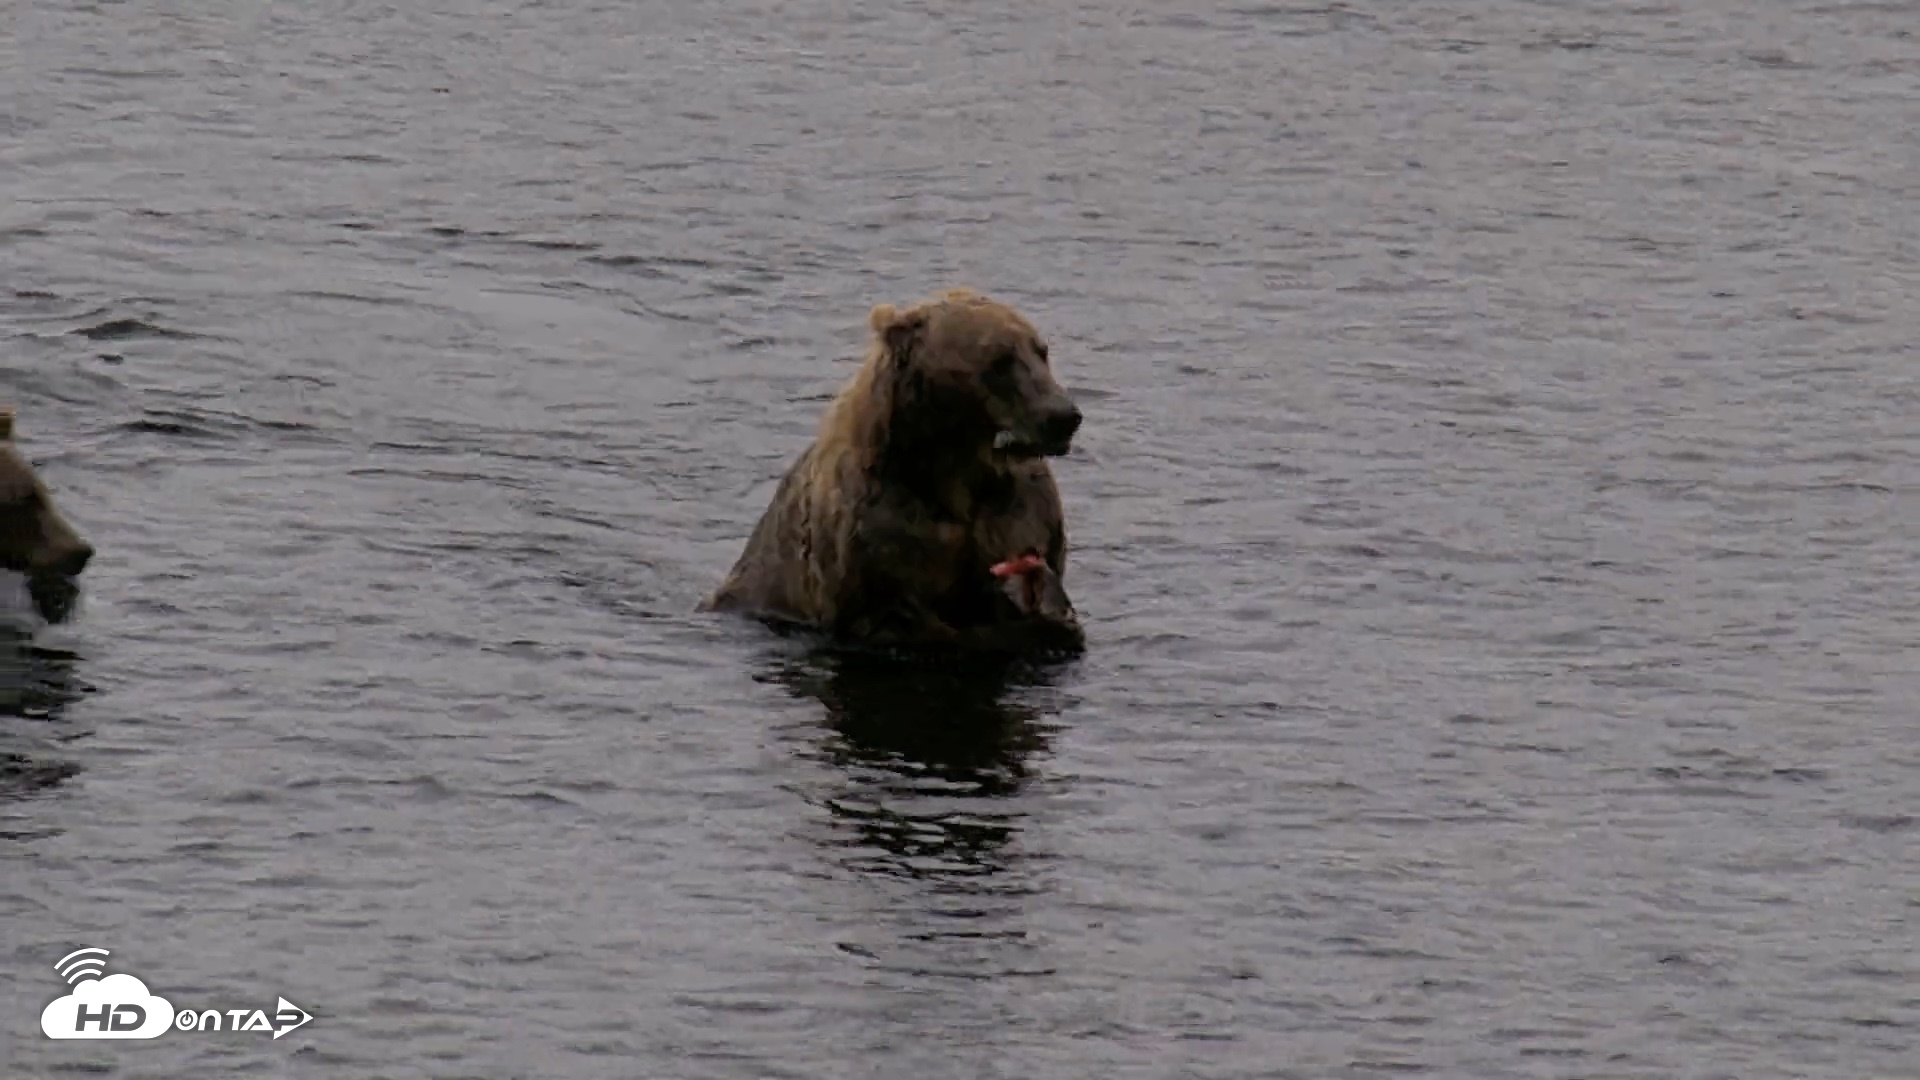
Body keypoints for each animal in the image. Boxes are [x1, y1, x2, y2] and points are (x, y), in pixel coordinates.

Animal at [702, 288, 1086, 655]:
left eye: (1041, 351)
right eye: (999, 360)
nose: (1063, 416)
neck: (956, 468)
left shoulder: (1020, 510)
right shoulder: (879, 533)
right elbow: (903, 620)